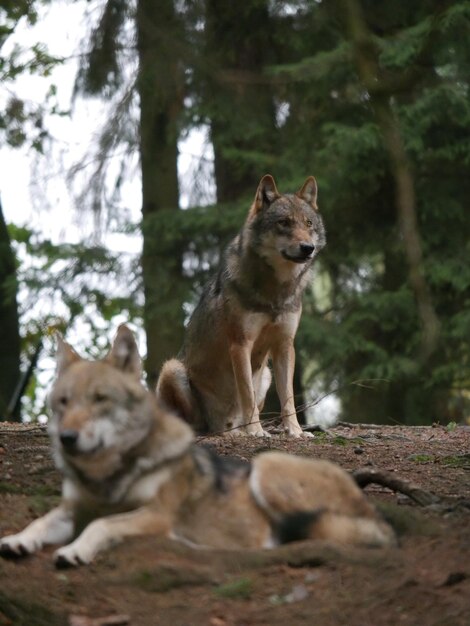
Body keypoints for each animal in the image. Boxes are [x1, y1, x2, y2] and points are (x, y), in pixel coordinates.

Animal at [0, 326, 396, 564]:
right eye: (63, 402)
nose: (67, 438)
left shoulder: (155, 515)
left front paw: (75, 551)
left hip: (266, 466)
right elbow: (39, 523)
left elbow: (102, 525)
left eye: (100, 399)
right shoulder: (70, 510)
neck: (108, 476)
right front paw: (18, 540)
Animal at [158, 171, 326, 434]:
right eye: (284, 223)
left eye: (308, 223)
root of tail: (222, 426)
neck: (275, 291)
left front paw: (296, 432)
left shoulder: (285, 345)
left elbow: (287, 397)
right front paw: (256, 431)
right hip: (172, 369)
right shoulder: (240, 344)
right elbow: (247, 394)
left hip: (266, 374)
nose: (307, 248)